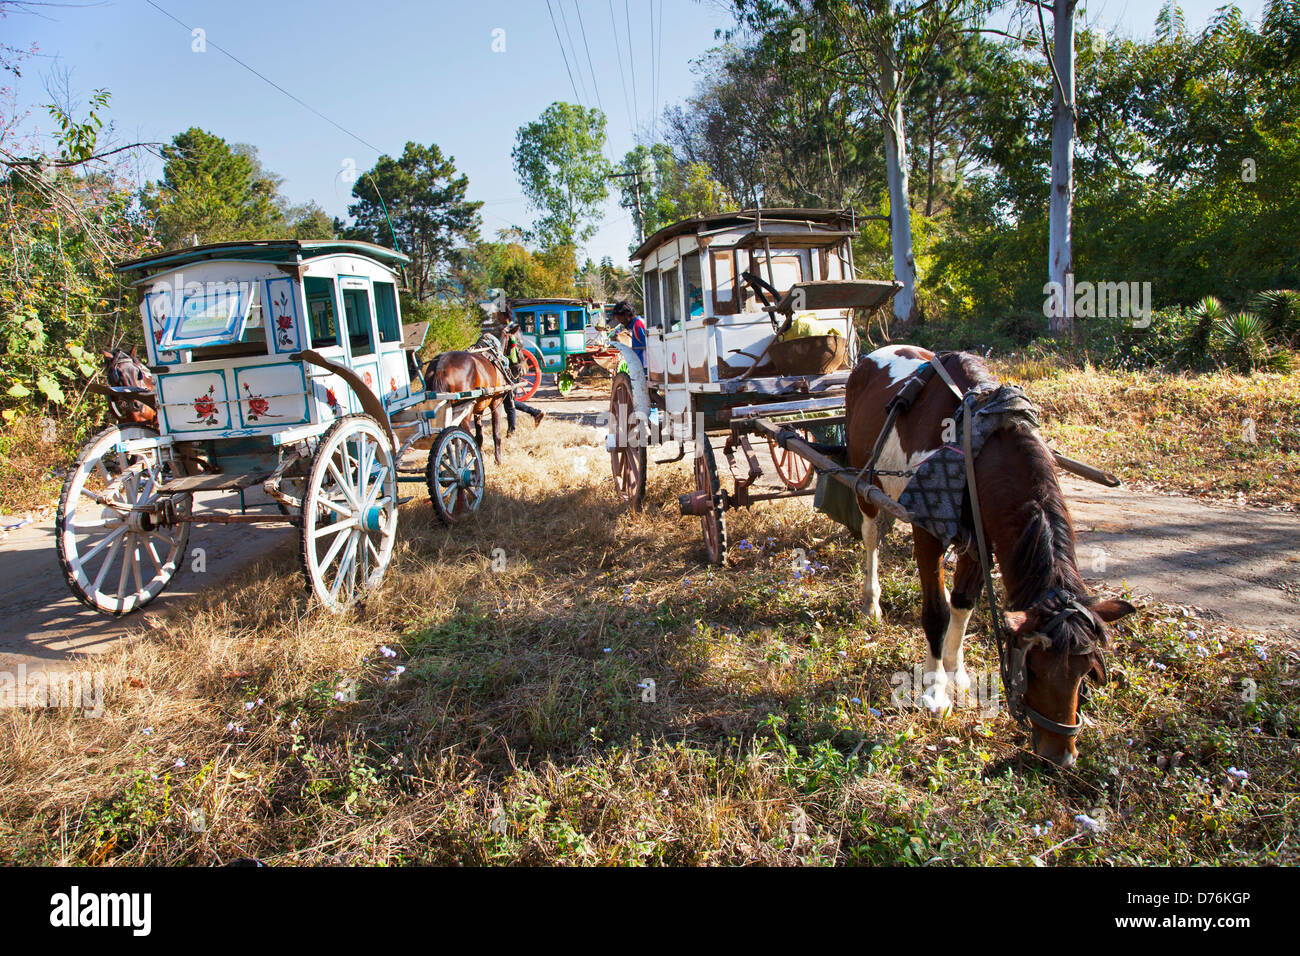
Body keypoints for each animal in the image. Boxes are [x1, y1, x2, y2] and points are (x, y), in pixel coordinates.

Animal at [847, 348, 1133, 764]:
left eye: (1085, 672)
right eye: (1034, 669)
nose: (1060, 755)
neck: (979, 449)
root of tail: (870, 357)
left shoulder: (984, 540)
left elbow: (963, 605)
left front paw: (958, 674)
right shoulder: (927, 530)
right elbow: (936, 613)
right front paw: (934, 693)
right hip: (865, 481)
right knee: (871, 537)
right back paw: (871, 603)